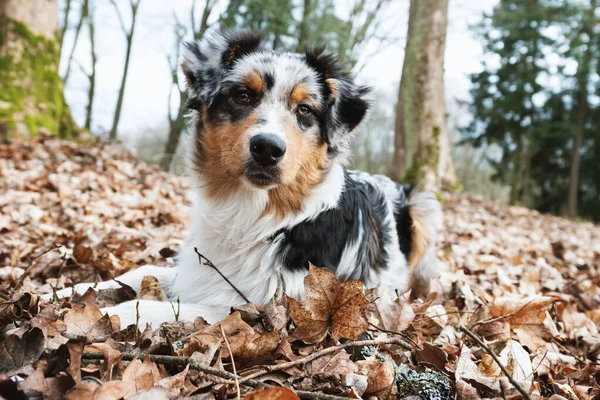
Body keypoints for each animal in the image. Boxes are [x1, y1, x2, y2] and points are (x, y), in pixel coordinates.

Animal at [49, 29, 442, 326]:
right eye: (242, 95)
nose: (267, 148)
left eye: (304, 110)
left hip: (424, 205)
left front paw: (91, 315)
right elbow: (138, 270)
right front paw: (61, 291)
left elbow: (153, 306)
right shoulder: (199, 267)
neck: (251, 211)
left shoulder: (263, 305)